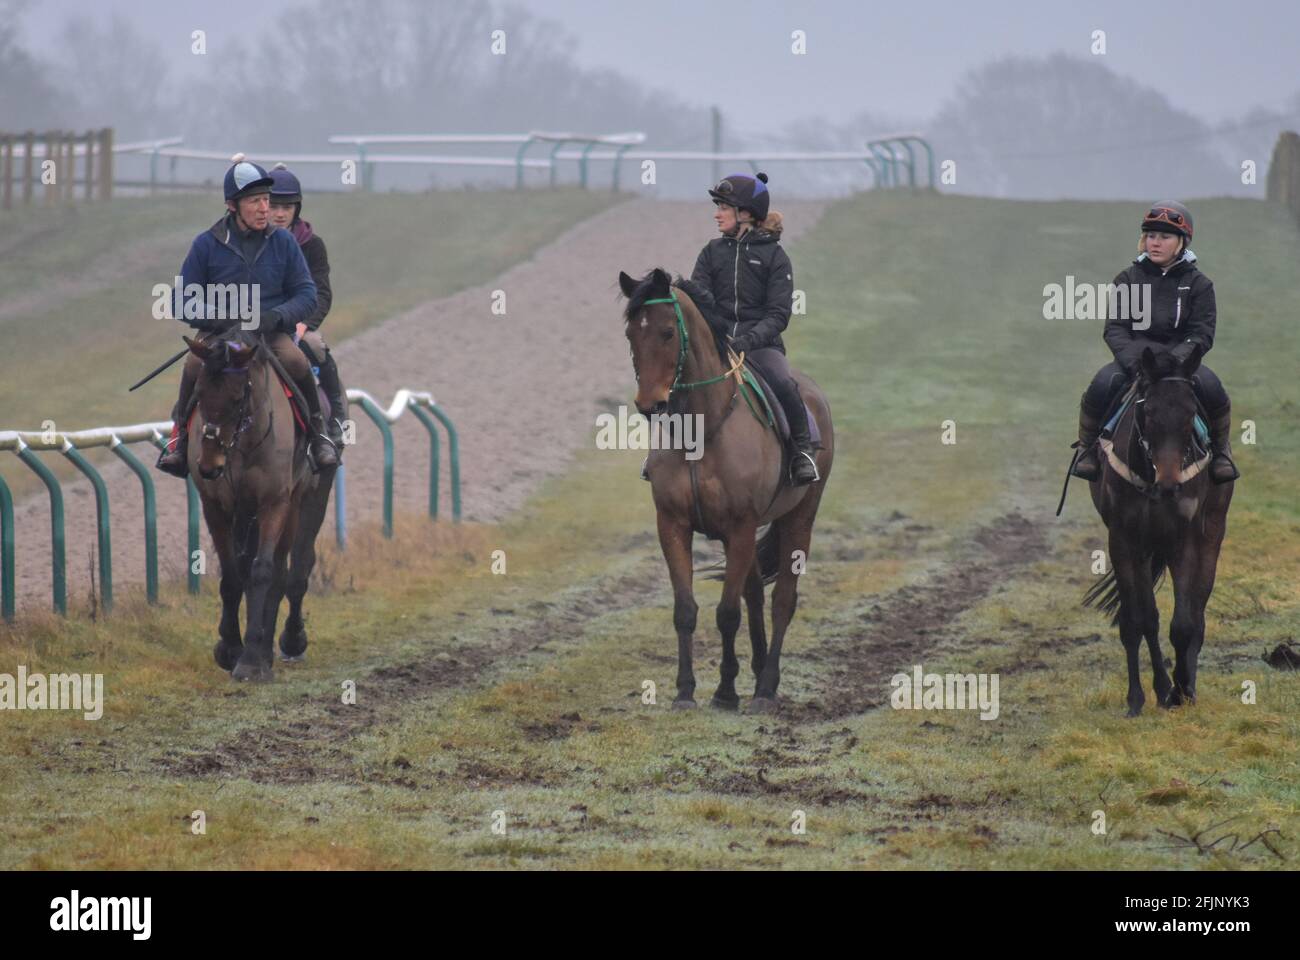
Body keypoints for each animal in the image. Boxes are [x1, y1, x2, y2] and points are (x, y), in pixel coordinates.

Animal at [183, 333, 338, 676]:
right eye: (198, 393)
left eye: (237, 398)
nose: (209, 465)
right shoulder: (215, 505)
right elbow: (232, 576)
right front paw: (230, 648)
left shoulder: (274, 501)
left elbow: (264, 571)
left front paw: (252, 659)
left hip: (308, 497)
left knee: (294, 568)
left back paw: (286, 643)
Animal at [616, 267, 832, 712]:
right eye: (631, 333)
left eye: (667, 332)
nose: (649, 405)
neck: (702, 430)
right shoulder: (674, 525)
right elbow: (686, 610)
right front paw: (685, 692)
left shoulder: (740, 526)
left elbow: (727, 613)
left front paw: (725, 692)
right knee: (755, 592)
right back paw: (759, 670)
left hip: (799, 517)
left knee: (782, 600)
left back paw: (766, 688)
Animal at [1081, 343, 1232, 712]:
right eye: (1147, 412)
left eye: (1190, 412)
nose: (1169, 484)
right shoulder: (1125, 540)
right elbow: (1140, 620)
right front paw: (1142, 696)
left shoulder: (1184, 540)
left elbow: (1184, 622)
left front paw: (1181, 690)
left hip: (1212, 531)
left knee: (1198, 609)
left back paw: (1187, 685)